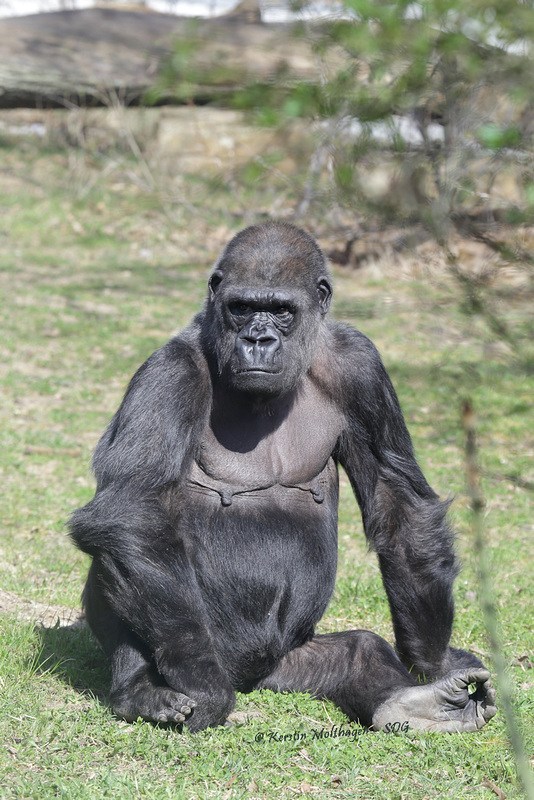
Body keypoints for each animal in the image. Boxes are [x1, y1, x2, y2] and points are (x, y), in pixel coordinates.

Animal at [69, 222, 500, 736]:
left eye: (281, 311)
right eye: (241, 307)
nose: (258, 339)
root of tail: (252, 676)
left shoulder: (360, 365)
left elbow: (399, 503)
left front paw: (435, 661)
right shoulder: (169, 372)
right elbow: (132, 508)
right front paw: (202, 685)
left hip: (287, 665)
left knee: (358, 650)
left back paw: (417, 702)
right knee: (123, 549)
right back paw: (140, 690)